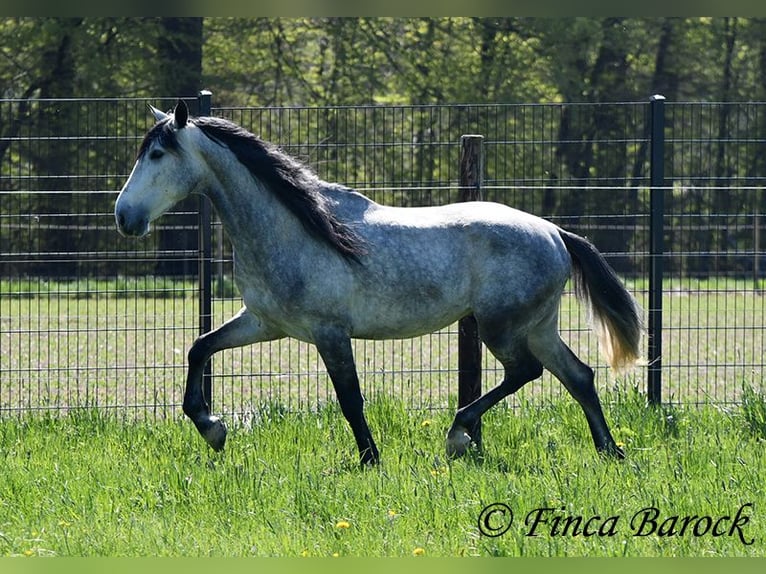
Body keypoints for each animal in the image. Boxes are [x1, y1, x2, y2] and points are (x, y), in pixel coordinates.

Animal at [114, 99, 643, 465]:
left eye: (157, 153)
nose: (124, 217)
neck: (295, 227)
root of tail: (555, 233)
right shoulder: (264, 323)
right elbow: (199, 348)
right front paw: (213, 428)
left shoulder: (329, 333)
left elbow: (350, 399)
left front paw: (371, 460)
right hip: (537, 326)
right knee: (578, 375)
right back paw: (609, 451)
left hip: (502, 327)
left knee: (527, 373)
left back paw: (458, 435)